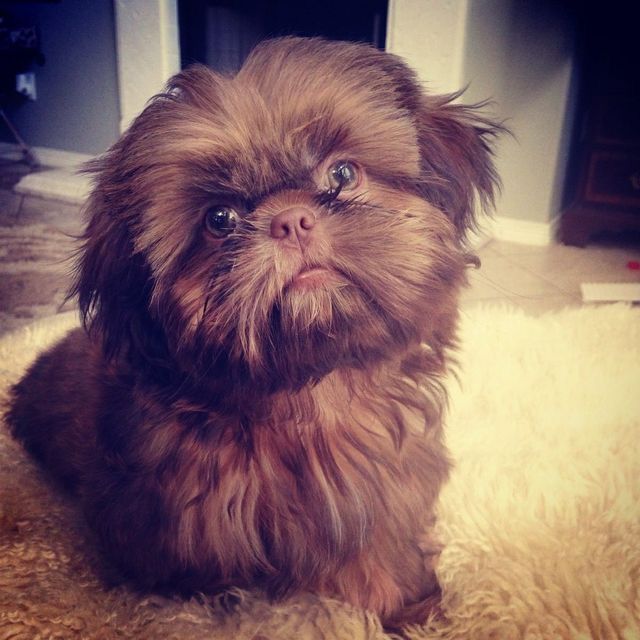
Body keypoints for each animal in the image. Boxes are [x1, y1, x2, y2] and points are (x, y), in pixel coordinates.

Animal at [7, 36, 502, 632]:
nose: (290, 219)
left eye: (342, 175)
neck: (308, 395)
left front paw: (409, 612)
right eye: (219, 219)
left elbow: (382, 555)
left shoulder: (387, 489)